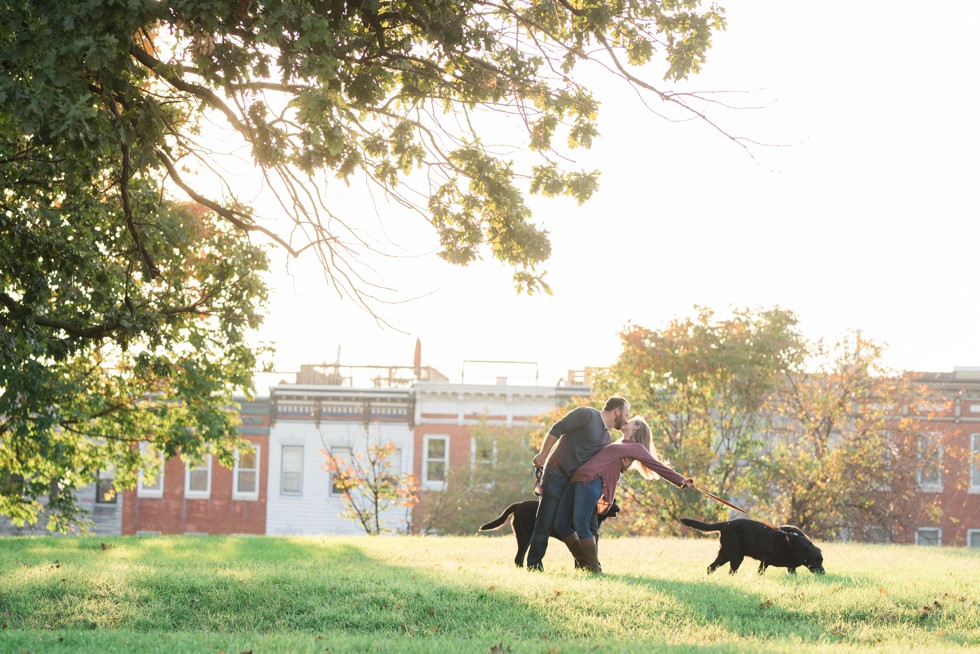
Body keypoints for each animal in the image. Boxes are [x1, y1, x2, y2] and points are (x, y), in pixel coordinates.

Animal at [680, 520, 828, 576]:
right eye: (815, 560)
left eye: (821, 560)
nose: (823, 573)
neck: (792, 543)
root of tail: (725, 524)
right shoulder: (765, 560)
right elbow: (760, 572)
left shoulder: (791, 567)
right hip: (736, 556)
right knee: (730, 571)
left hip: (725, 554)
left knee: (711, 567)